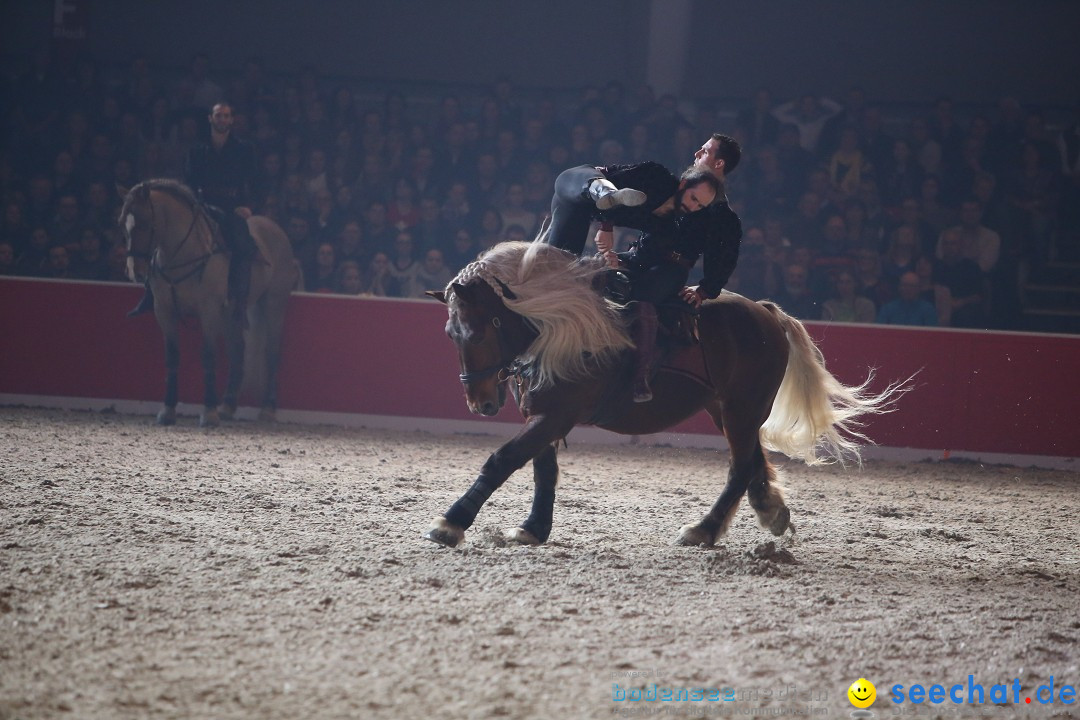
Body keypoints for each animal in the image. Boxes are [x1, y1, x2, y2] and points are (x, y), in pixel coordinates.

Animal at [119, 180, 300, 427]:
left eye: (146, 223)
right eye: (123, 225)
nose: (134, 271)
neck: (183, 255)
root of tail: (275, 230)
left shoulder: (209, 311)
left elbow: (207, 355)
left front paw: (209, 412)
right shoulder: (164, 311)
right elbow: (172, 356)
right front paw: (168, 411)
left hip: (273, 305)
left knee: (271, 352)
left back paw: (267, 410)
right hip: (232, 314)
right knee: (238, 351)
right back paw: (228, 405)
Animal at [421, 241, 902, 546]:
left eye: (478, 331)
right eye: (449, 334)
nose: (480, 403)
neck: (557, 329)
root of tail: (765, 313)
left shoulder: (555, 416)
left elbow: (502, 460)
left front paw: (452, 522)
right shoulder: (542, 415)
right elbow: (543, 471)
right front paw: (533, 529)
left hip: (743, 409)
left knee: (740, 468)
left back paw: (704, 530)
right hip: (727, 410)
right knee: (753, 462)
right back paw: (768, 509)